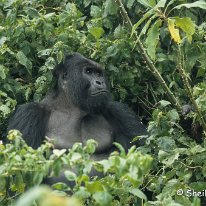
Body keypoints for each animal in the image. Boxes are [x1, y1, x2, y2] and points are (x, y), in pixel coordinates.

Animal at [7, 51, 146, 158]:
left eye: (98, 74)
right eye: (88, 71)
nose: (100, 82)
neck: (71, 106)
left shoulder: (121, 111)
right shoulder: (29, 113)